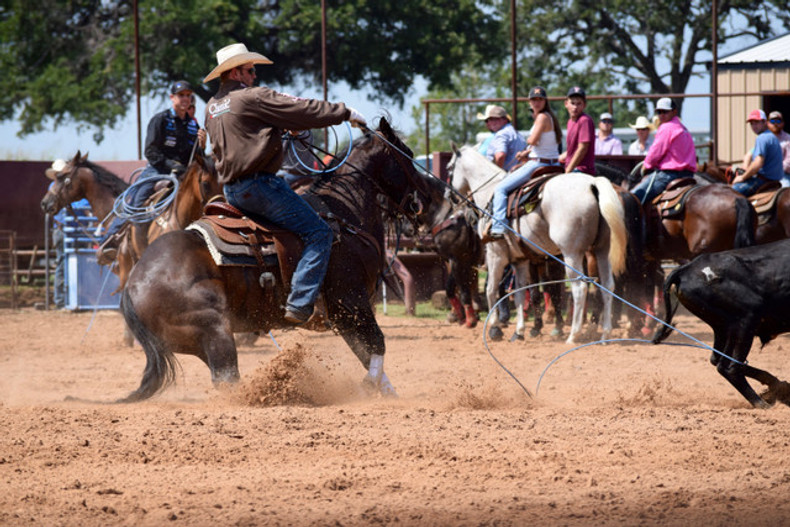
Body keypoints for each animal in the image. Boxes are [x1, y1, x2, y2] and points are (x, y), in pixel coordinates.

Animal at [118, 117, 426, 402]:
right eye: (408, 154)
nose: (423, 202)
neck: (344, 216)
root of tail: (134, 284)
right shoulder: (350, 302)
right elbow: (377, 345)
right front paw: (368, 388)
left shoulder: (347, 313)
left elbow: (367, 351)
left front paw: (388, 394)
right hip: (214, 330)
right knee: (227, 379)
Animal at [448, 144, 628, 344]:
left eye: (449, 169)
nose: (450, 197)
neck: (489, 192)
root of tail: (593, 185)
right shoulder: (520, 260)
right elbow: (519, 293)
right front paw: (518, 332)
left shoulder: (496, 254)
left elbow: (491, 290)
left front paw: (495, 329)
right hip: (602, 250)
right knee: (608, 286)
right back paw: (605, 334)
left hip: (572, 255)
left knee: (580, 289)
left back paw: (573, 335)